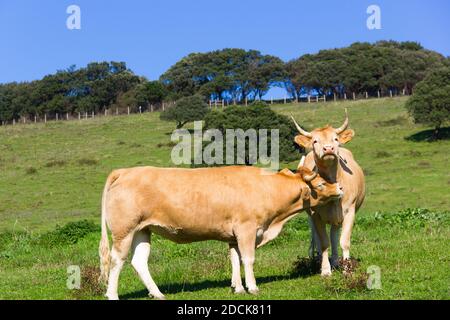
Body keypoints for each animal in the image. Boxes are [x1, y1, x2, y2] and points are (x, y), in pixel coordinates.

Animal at [98, 165, 342, 300]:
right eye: (321, 184)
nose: (339, 187)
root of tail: (126, 171)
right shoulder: (246, 229)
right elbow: (248, 259)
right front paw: (252, 287)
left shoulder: (233, 236)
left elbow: (235, 259)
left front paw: (238, 288)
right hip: (124, 231)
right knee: (116, 260)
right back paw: (112, 295)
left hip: (143, 230)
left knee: (139, 261)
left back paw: (157, 294)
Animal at [292, 110, 366, 276]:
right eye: (315, 141)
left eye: (336, 139)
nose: (328, 149)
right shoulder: (315, 215)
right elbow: (324, 243)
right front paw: (325, 270)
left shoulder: (349, 211)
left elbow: (343, 241)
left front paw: (347, 268)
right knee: (319, 240)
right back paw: (320, 261)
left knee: (334, 235)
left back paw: (337, 262)